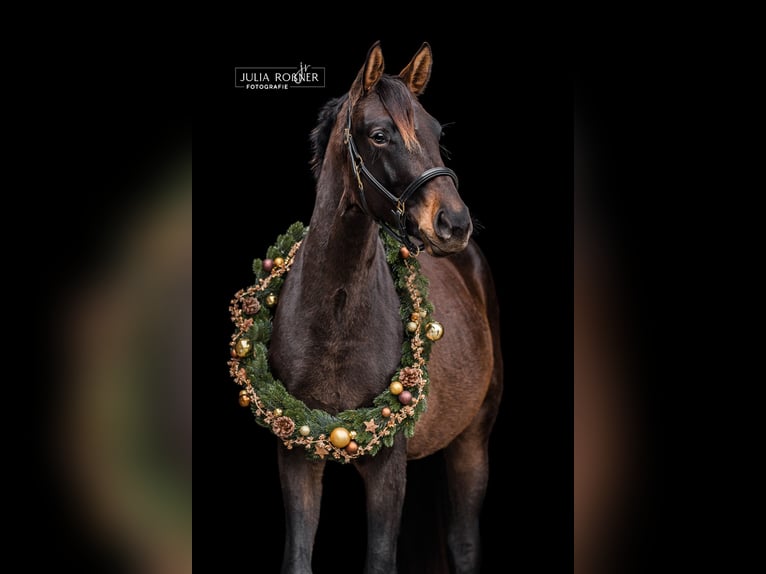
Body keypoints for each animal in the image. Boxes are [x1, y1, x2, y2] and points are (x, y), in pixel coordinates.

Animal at [269, 41, 503, 574]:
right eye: (379, 135)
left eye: (437, 132)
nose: (454, 223)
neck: (334, 320)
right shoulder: (297, 457)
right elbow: (296, 558)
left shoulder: (388, 465)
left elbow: (380, 560)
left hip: (472, 439)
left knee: (464, 543)